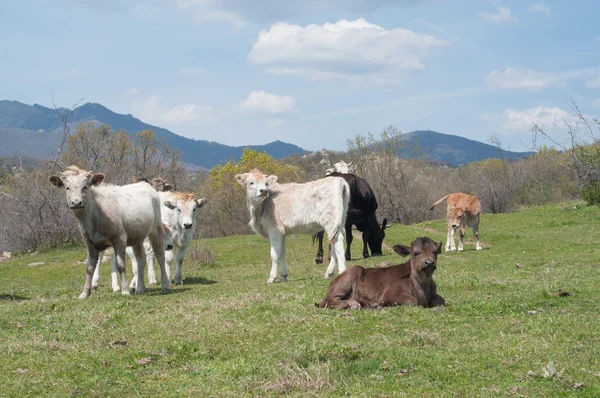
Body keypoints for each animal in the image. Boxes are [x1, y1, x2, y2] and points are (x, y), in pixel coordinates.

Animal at [47, 166, 170, 298]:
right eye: (67, 187)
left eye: (85, 186)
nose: (76, 202)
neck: (95, 214)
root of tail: (146, 185)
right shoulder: (89, 243)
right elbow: (89, 267)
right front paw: (85, 293)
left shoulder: (120, 238)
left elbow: (120, 265)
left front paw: (125, 290)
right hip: (137, 236)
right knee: (140, 260)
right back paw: (140, 288)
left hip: (156, 229)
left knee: (160, 256)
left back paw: (165, 285)